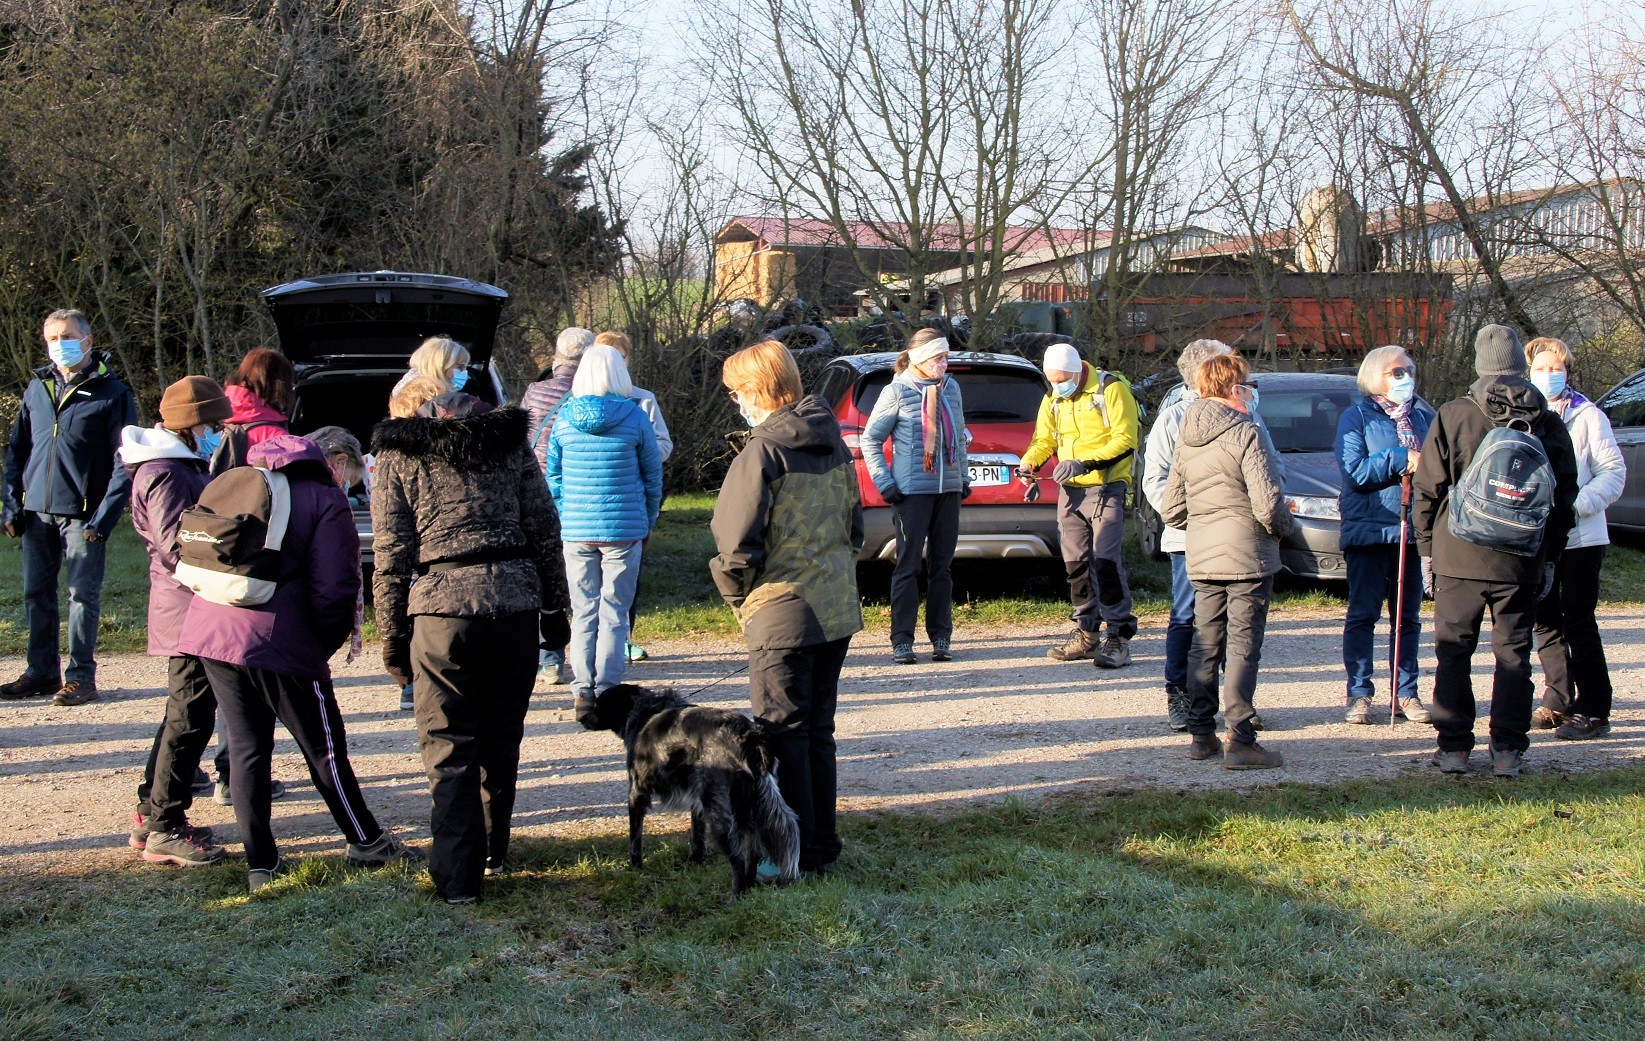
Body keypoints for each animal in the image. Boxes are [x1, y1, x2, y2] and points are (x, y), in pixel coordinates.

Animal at [585, 680, 802, 894]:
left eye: (597, 705)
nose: (582, 717)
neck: (644, 711)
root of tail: (747, 734)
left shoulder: (637, 792)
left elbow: (635, 838)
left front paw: (635, 866)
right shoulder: (695, 799)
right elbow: (696, 835)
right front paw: (695, 860)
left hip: (717, 810)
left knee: (738, 858)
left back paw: (735, 896)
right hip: (746, 805)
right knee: (753, 852)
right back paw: (749, 885)